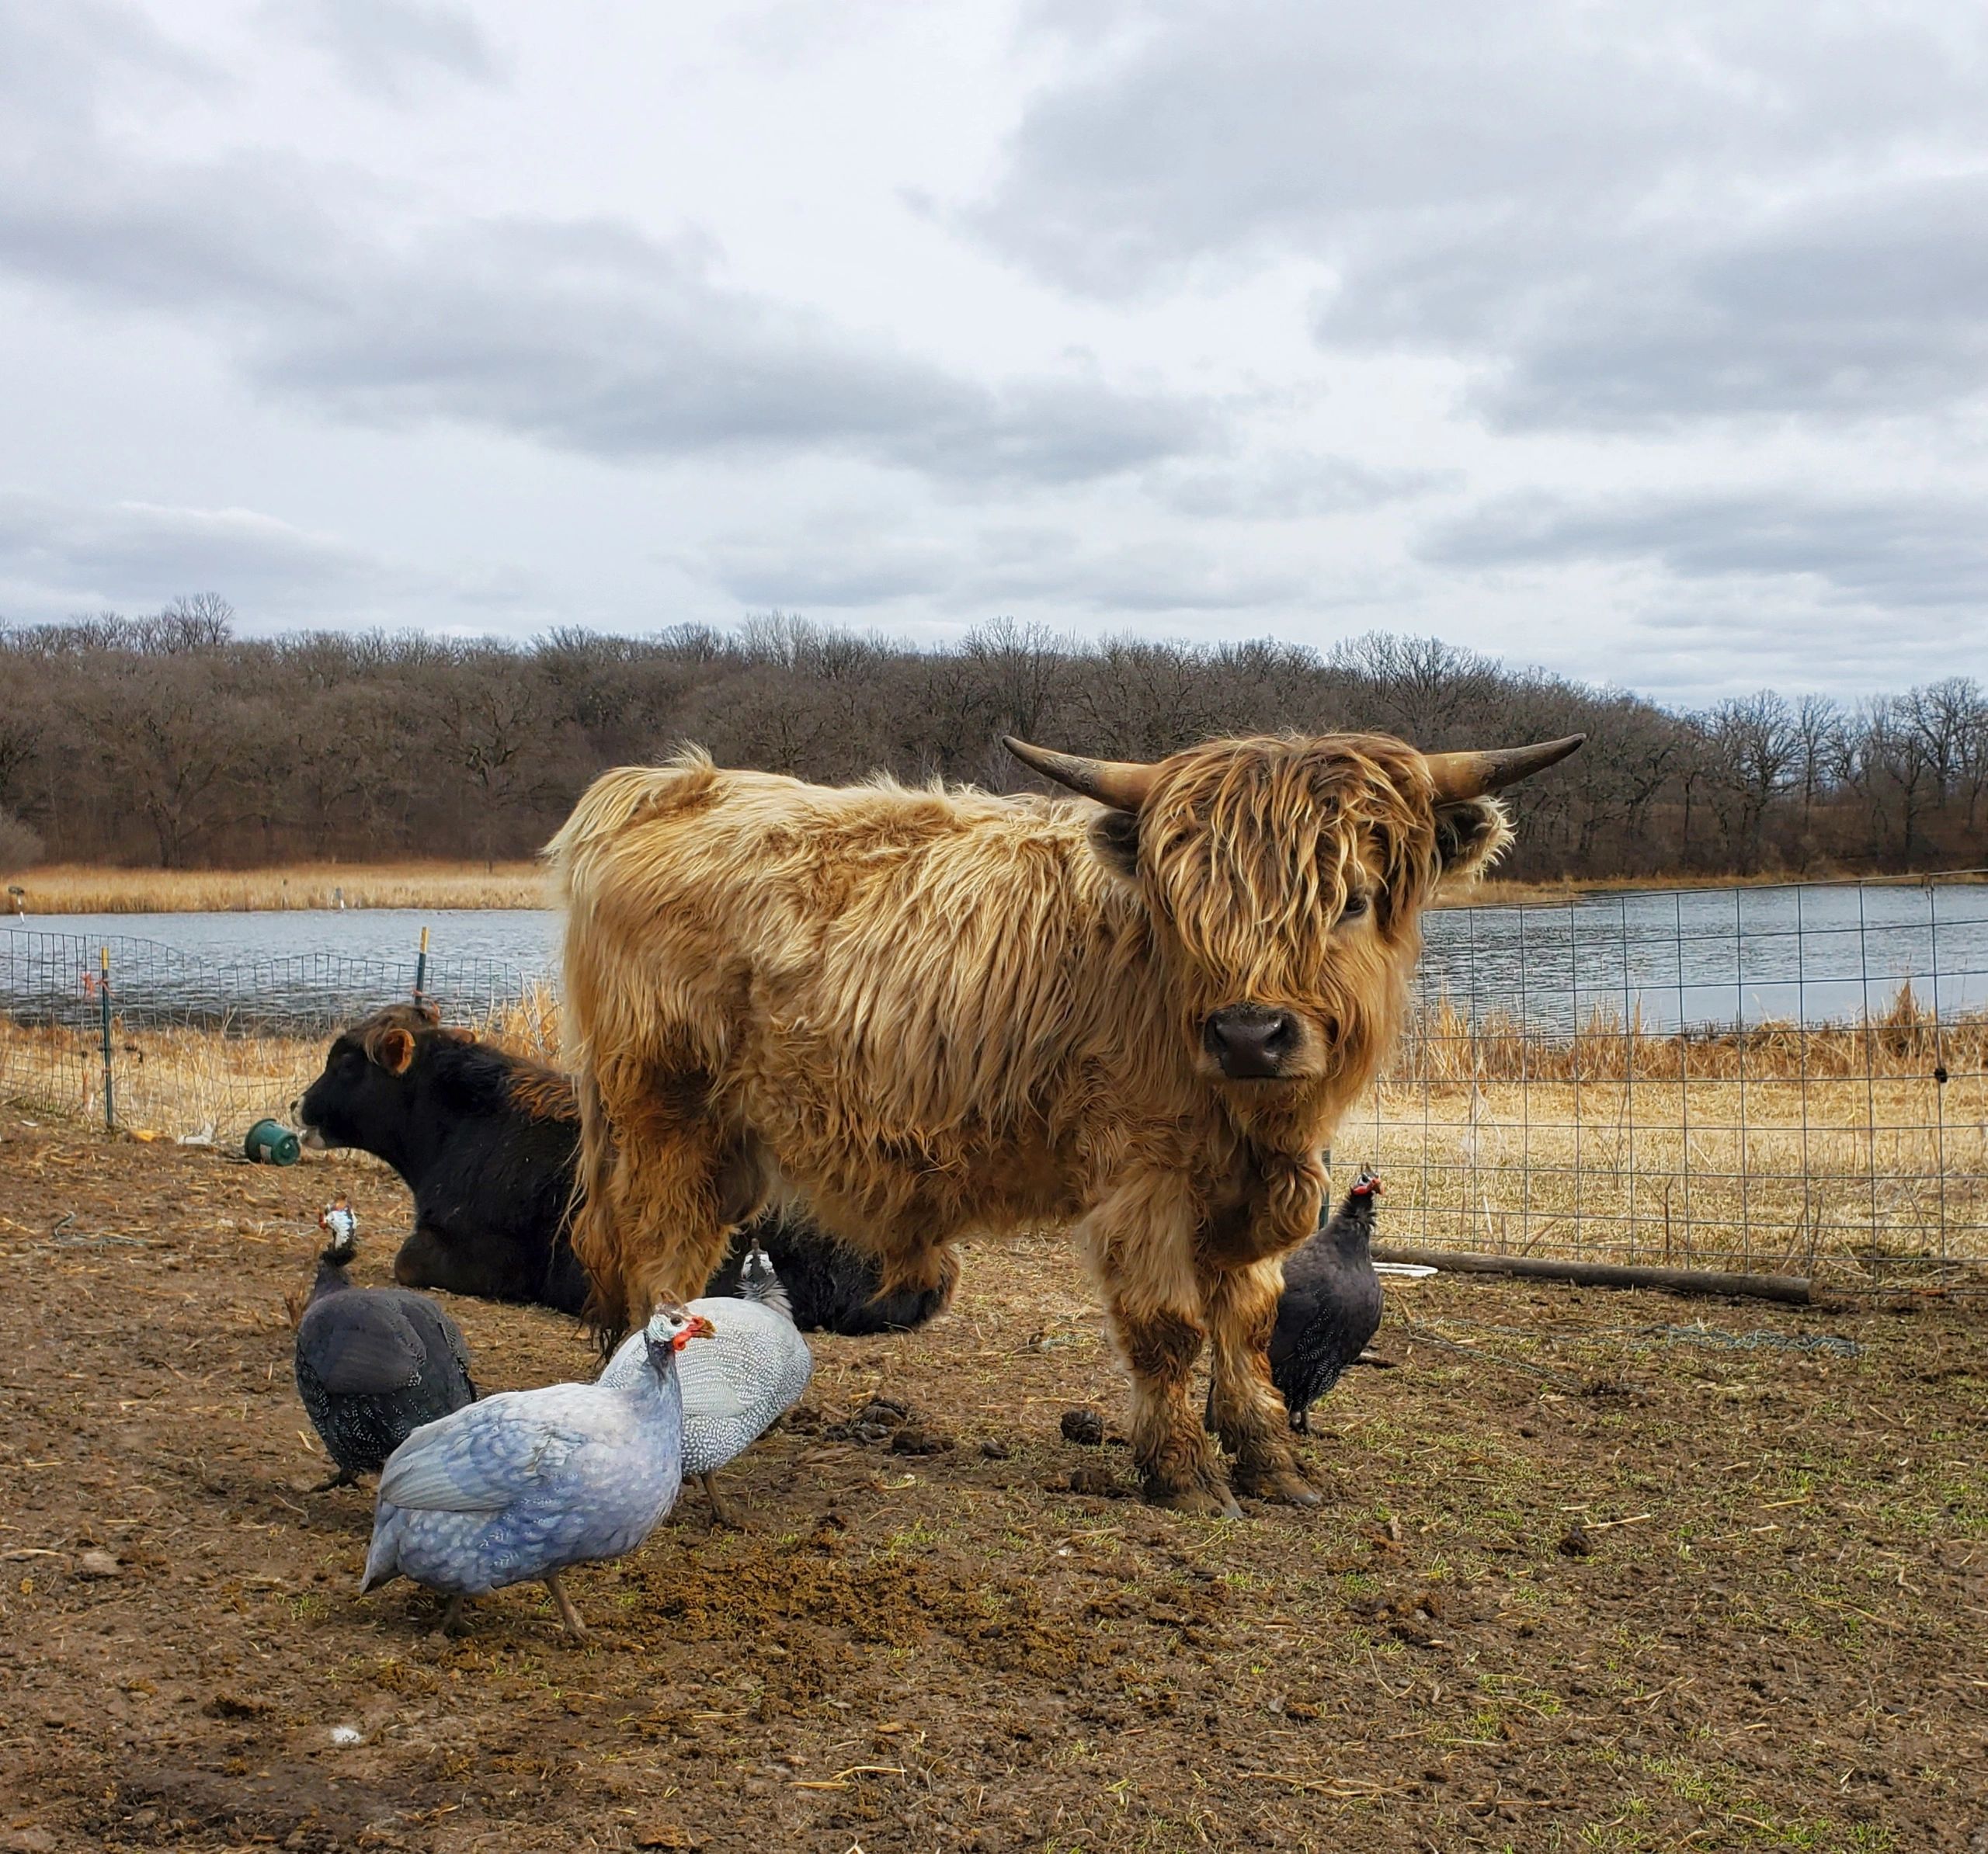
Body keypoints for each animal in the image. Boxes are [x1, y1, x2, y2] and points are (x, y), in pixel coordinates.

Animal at [552, 723, 1574, 1502]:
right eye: (1185, 913)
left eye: (1353, 903)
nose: (1250, 1033)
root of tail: (669, 785)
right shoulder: (1142, 1176)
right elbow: (1169, 1326)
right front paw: (1181, 1475)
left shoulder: (1254, 1194)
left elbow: (1248, 1322)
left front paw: (1269, 1462)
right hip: (666, 1117)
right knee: (660, 1260)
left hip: (727, 1138)